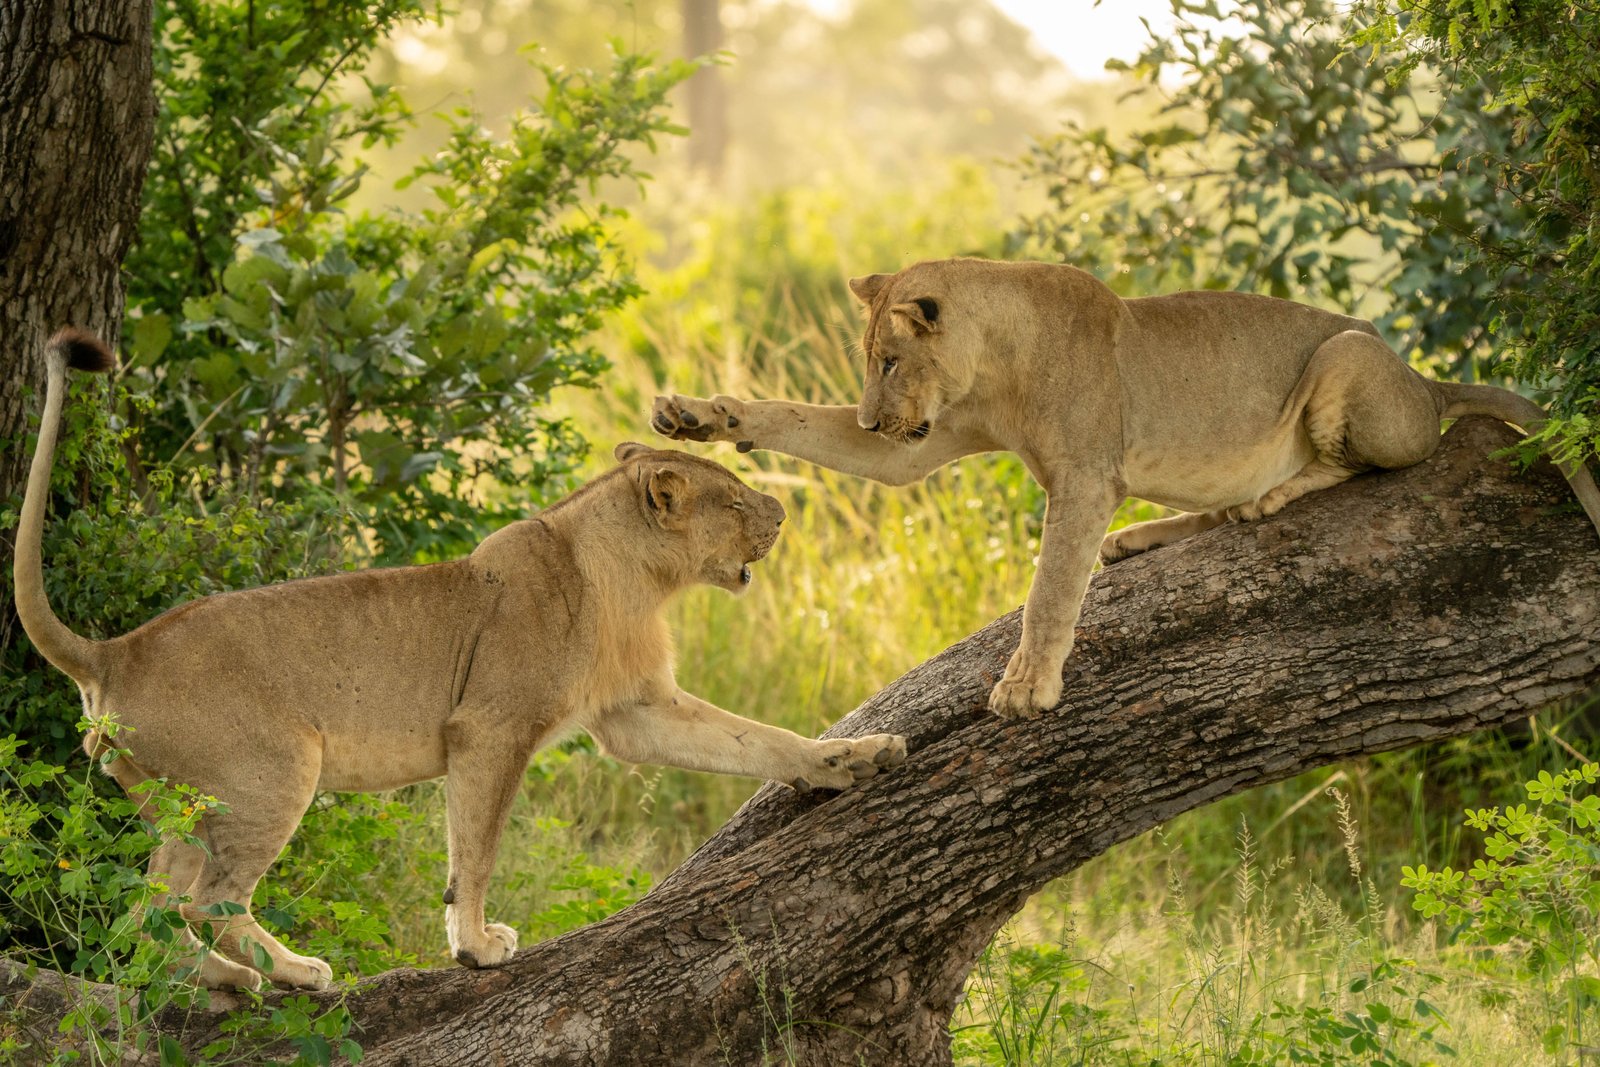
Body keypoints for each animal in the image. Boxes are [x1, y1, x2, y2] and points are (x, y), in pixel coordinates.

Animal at [14, 329, 907, 991]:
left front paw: (848, 758)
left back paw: (226, 979)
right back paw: (283, 974)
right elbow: (473, 849)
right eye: (730, 496)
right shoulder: (488, 729)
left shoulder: (636, 712)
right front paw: (475, 945)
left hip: (177, 804)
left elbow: (755, 739)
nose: (783, 509)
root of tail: (114, 650)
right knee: (207, 902)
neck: (635, 579)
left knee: (146, 911)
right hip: (273, 771)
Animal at [652, 257, 1600, 720]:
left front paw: (1026, 688)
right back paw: (1154, 534)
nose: (876, 417)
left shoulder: (1082, 478)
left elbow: (1049, 591)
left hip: (1349, 355)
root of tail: (1427, 381)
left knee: (1371, 461)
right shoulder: (921, 449)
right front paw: (700, 414)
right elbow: (797, 422)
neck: (996, 361)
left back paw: (1268, 498)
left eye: (889, 360)